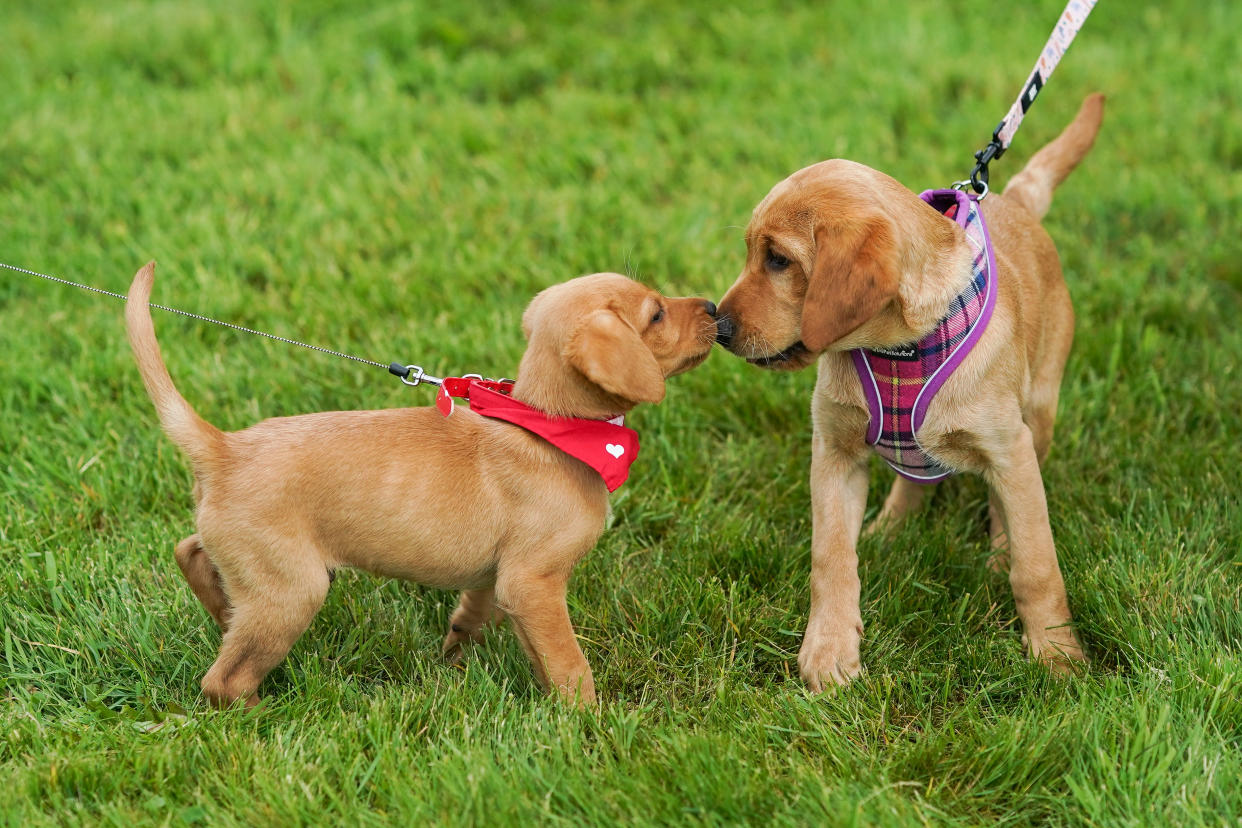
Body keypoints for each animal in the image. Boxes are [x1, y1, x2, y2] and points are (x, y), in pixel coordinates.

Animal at [720, 95, 1107, 695]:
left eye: (778, 260)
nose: (717, 326)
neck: (897, 348)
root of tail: (1014, 200)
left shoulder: (1010, 447)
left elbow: (1037, 564)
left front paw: (1058, 653)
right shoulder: (833, 452)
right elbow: (831, 558)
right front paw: (829, 650)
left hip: (1039, 413)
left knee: (1005, 508)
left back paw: (996, 557)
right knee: (914, 476)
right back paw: (888, 530)